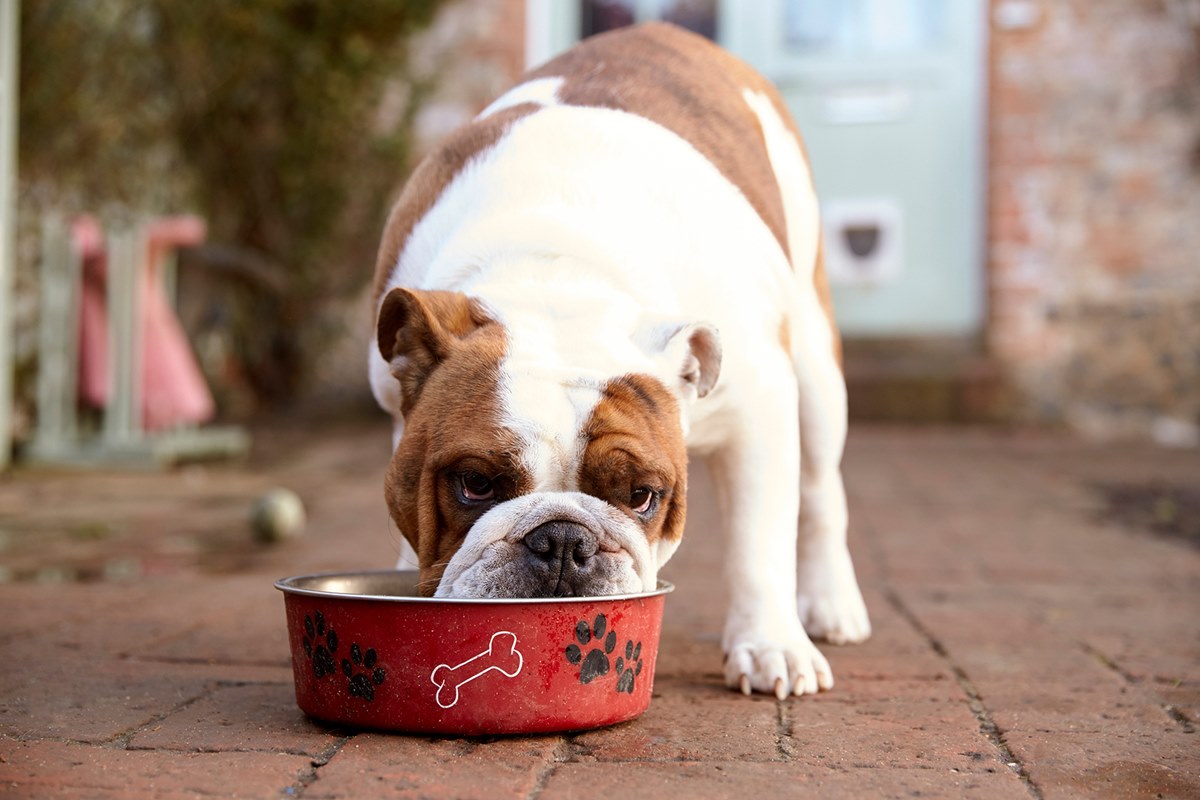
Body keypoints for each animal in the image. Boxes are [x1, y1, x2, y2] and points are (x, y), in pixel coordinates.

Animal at [369, 23, 868, 700]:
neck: (558, 277)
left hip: (815, 371)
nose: (561, 540)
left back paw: (832, 604)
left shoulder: (760, 407)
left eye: (642, 497)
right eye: (475, 484)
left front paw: (771, 646)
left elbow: (759, 540)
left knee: (819, 490)